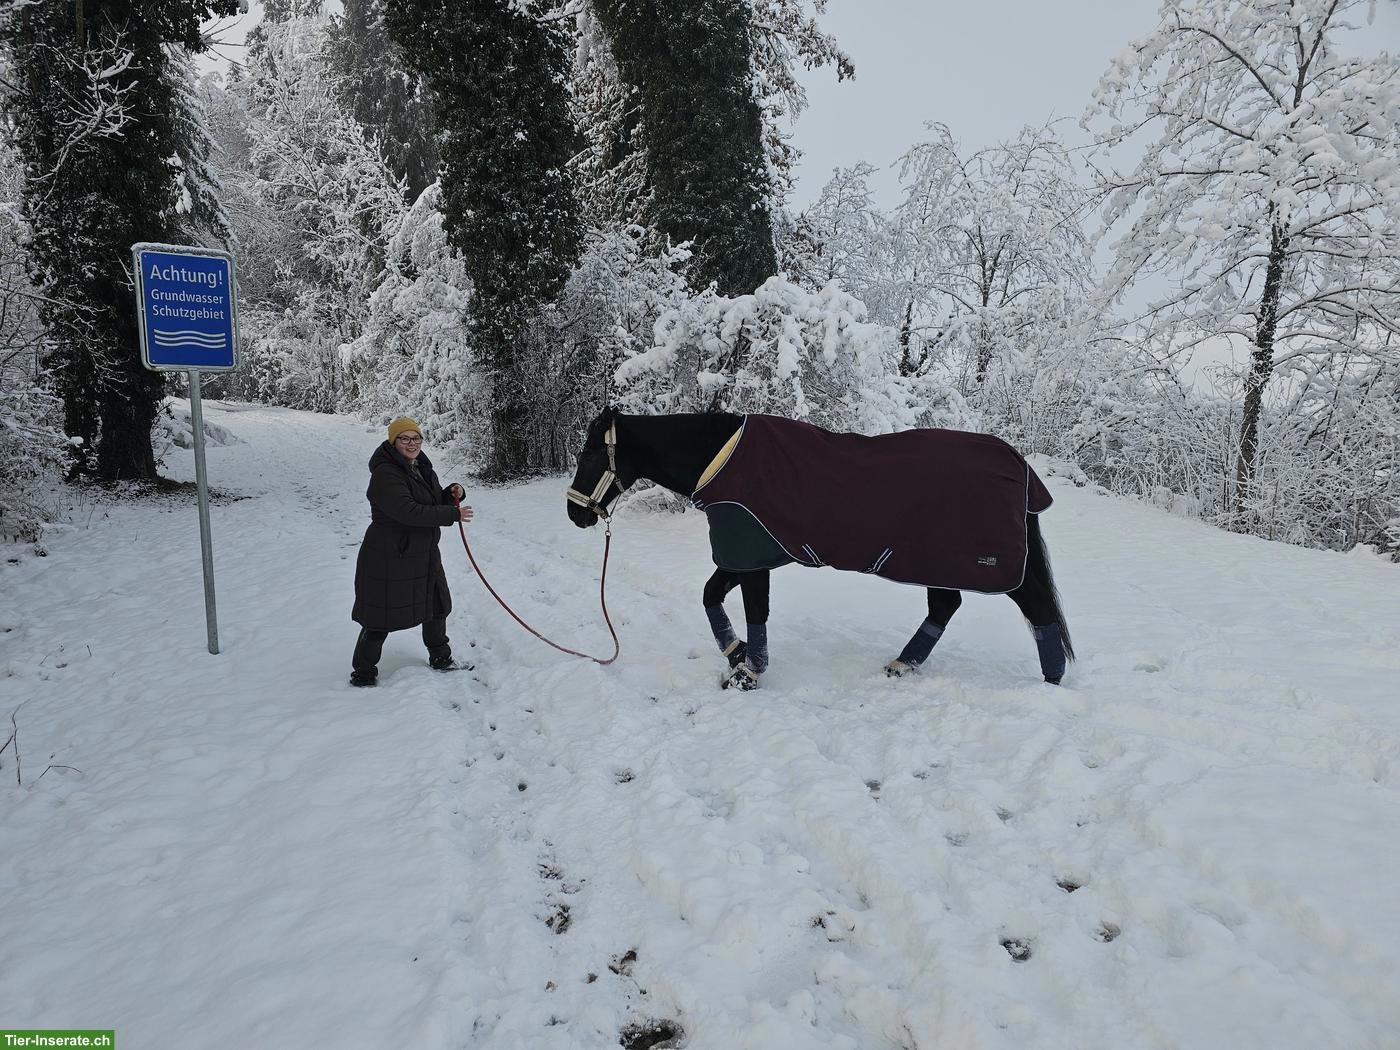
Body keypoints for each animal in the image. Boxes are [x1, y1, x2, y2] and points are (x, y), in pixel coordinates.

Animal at [566, 408, 1074, 690]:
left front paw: (749, 672)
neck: (720, 458)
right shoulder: (744, 555)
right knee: (945, 607)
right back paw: (901, 665)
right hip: (937, 563)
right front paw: (735, 652)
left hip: (990, 567)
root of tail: (1018, 464)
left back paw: (1052, 679)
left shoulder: (749, 556)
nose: (575, 513)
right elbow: (713, 598)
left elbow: (753, 610)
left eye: (589, 453)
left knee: (1036, 607)